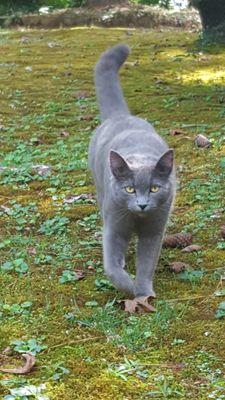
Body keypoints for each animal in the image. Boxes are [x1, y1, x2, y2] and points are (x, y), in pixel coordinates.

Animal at [88, 45, 176, 298]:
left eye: (154, 188)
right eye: (129, 189)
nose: (143, 204)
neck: (137, 219)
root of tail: (120, 116)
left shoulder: (155, 229)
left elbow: (147, 262)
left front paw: (144, 292)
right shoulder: (114, 226)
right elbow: (112, 267)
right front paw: (129, 287)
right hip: (101, 193)